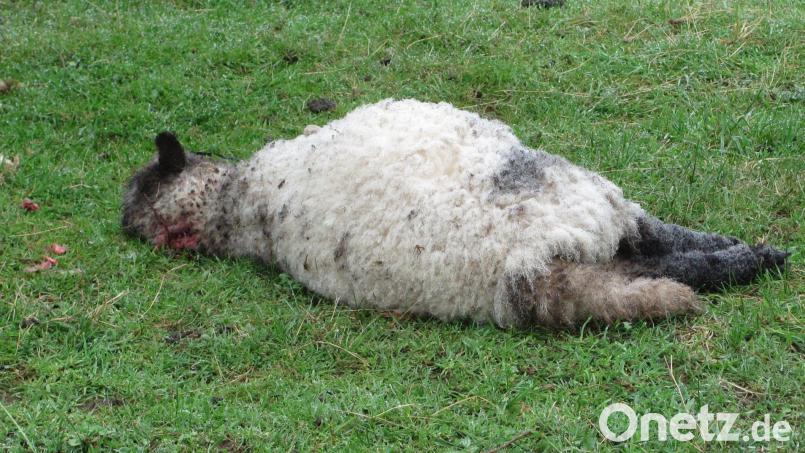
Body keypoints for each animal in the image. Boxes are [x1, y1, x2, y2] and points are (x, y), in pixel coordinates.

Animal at [122, 99, 788, 329]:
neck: (241, 204)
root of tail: (526, 268)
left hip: (589, 223)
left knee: (650, 254)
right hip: (589, 205)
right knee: (663, 250)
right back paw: (756, 258)